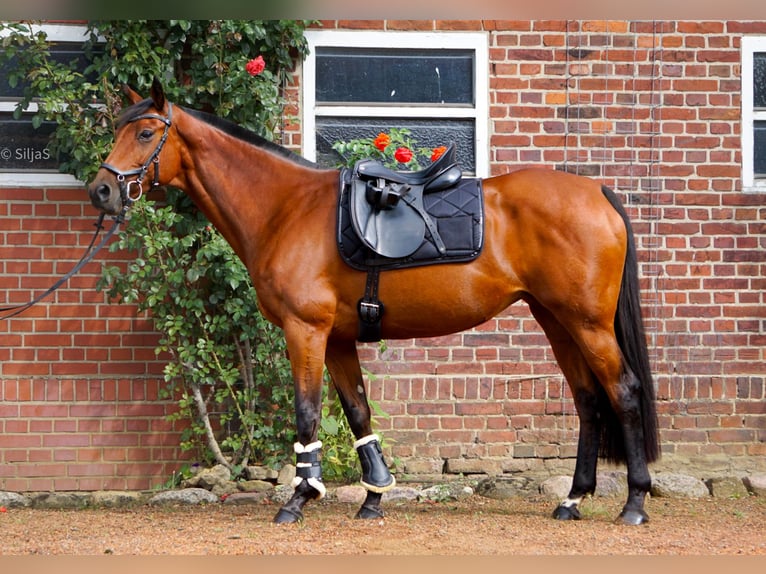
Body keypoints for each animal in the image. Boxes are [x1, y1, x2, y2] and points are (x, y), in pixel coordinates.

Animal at [85, 80, 660, 528]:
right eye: (118, 130)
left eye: (145, 133)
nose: (101, 192)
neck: (286, 208)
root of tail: (596, 192)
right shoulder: (338, 337)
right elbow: (358, 412)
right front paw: (374, 497)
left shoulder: (306, 330)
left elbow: (307, 412)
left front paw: (299, 499)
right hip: (557, 320)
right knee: (587, 400)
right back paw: (573, 499)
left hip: (587, 323)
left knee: (624, 392)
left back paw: (633, 503)